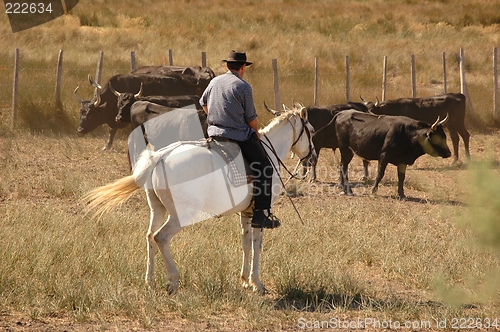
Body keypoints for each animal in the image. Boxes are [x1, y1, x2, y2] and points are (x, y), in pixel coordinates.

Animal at [83, 104, 314, 294]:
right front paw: (256, 283)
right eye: (311, 131)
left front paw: (244, 280)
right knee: (160, 237)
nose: (311, 159)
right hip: (180, 214)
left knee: (149, 237)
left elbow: (246, 244)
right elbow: (257, 245)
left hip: (157, 209)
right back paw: (173, 280)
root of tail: (161, 156)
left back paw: (150, 281)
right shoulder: (260, 213)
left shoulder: (247, 213)